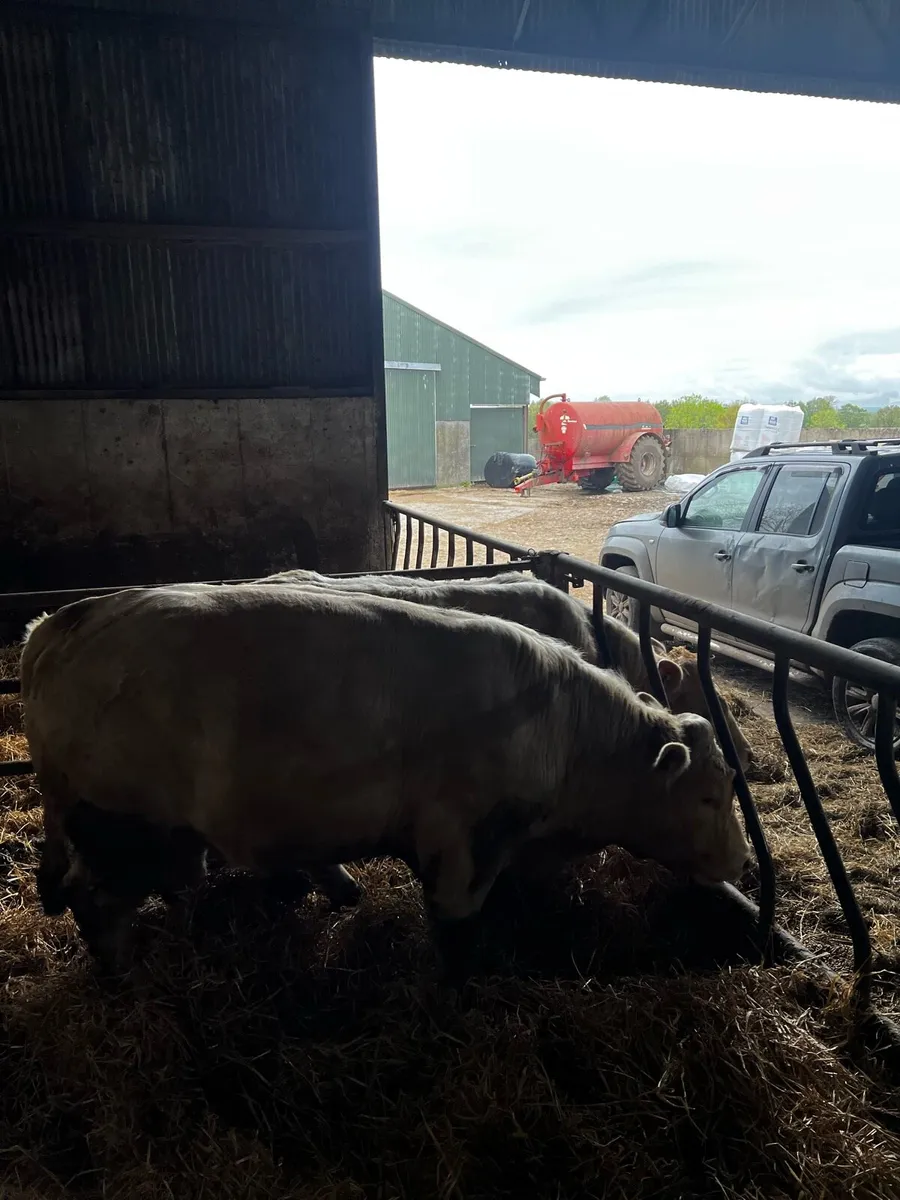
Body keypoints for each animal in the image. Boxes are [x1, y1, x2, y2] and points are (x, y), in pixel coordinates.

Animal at [22, 584, 749, 972]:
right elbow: (457, 930)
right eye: (710, 795)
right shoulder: (462, 843)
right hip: (120, 823)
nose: (741, 862)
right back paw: (117, 966)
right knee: (94, 898)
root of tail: (57, 624)